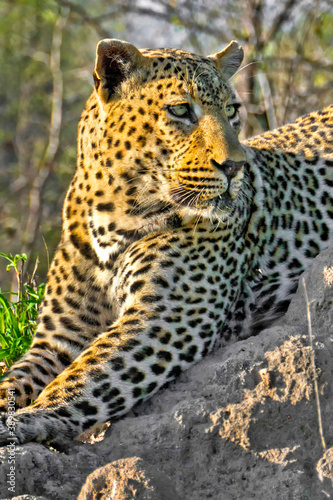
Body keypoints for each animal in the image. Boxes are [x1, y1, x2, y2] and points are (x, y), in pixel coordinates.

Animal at [0, 39, 332, 446]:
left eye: (232, 110)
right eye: (180, 110)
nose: (235, 166)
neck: (112, 215)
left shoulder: (163, 317)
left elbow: (83, 377)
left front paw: (27, 419)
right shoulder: (59, 339)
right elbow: (15, 381)